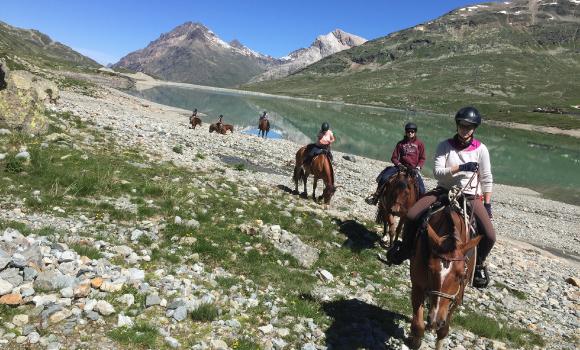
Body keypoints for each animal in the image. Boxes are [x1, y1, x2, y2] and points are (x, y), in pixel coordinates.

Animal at [406, 198, 482, 348]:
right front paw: (416, 340)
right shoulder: (417, 286)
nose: (435, 320)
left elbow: (443, 330)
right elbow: (418, 325)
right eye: (430, 269)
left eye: (461, 275)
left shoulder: (457, 295)